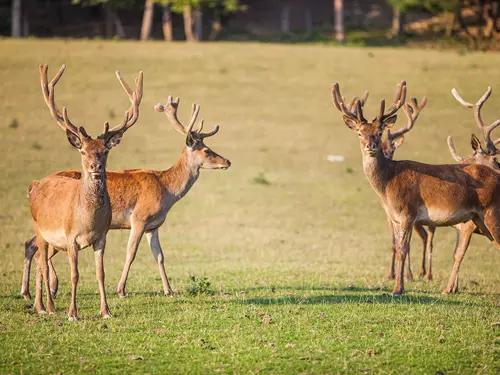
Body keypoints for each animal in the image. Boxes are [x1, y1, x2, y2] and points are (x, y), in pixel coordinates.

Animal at [21, 95, 229, 302]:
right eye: (207, 150)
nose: (227, 161)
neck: (166, 190)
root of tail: (33, 185)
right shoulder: (139, 218)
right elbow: (131, 253)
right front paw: (121, 290)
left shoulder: (153, 225)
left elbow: (159, 255)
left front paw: (169, 290)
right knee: (41, 251)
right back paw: (51, 287)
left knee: (31, 244)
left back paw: (27, 292)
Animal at [30, 64, 143, 320]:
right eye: (83, 151)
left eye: (105, 150)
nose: (95, 166)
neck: (88, 220)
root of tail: (34, 185)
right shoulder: (70, 238)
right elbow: (75, 275)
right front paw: (72, 313)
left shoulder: (102, 236)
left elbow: (101, 274)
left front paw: (106, 311)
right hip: (40, 229)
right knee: (42, 263)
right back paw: (49, 307)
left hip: (52, 240)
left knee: (41, 262)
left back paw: (41, 306)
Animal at [330, 81, 500, 296]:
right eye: (360, 133)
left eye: (379, 132)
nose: (371, 146)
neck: (387, 186)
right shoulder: (395, 218)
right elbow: (397, 247)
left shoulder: (407, 213)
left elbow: (403, 250)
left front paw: (398, 289)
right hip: (480, 220)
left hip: (491, 213)